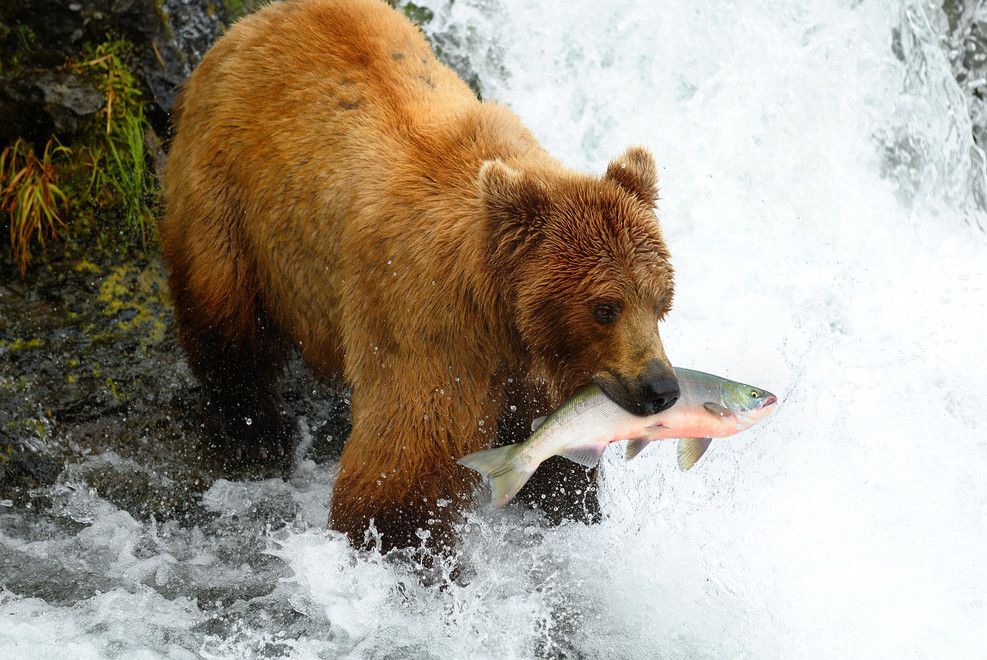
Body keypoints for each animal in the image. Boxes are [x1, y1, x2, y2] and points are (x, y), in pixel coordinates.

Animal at [161, 0, 679, 552]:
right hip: (228, 198)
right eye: (605, 307)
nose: (661, 387)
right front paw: (401, 543)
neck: (501, 309)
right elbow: (406, 461)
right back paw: (254, 432)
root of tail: (250, 23)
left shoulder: (533, 362)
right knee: (225, 318)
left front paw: (570, 503)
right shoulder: (426, 321)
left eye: (661, 301)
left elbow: (548, 448)